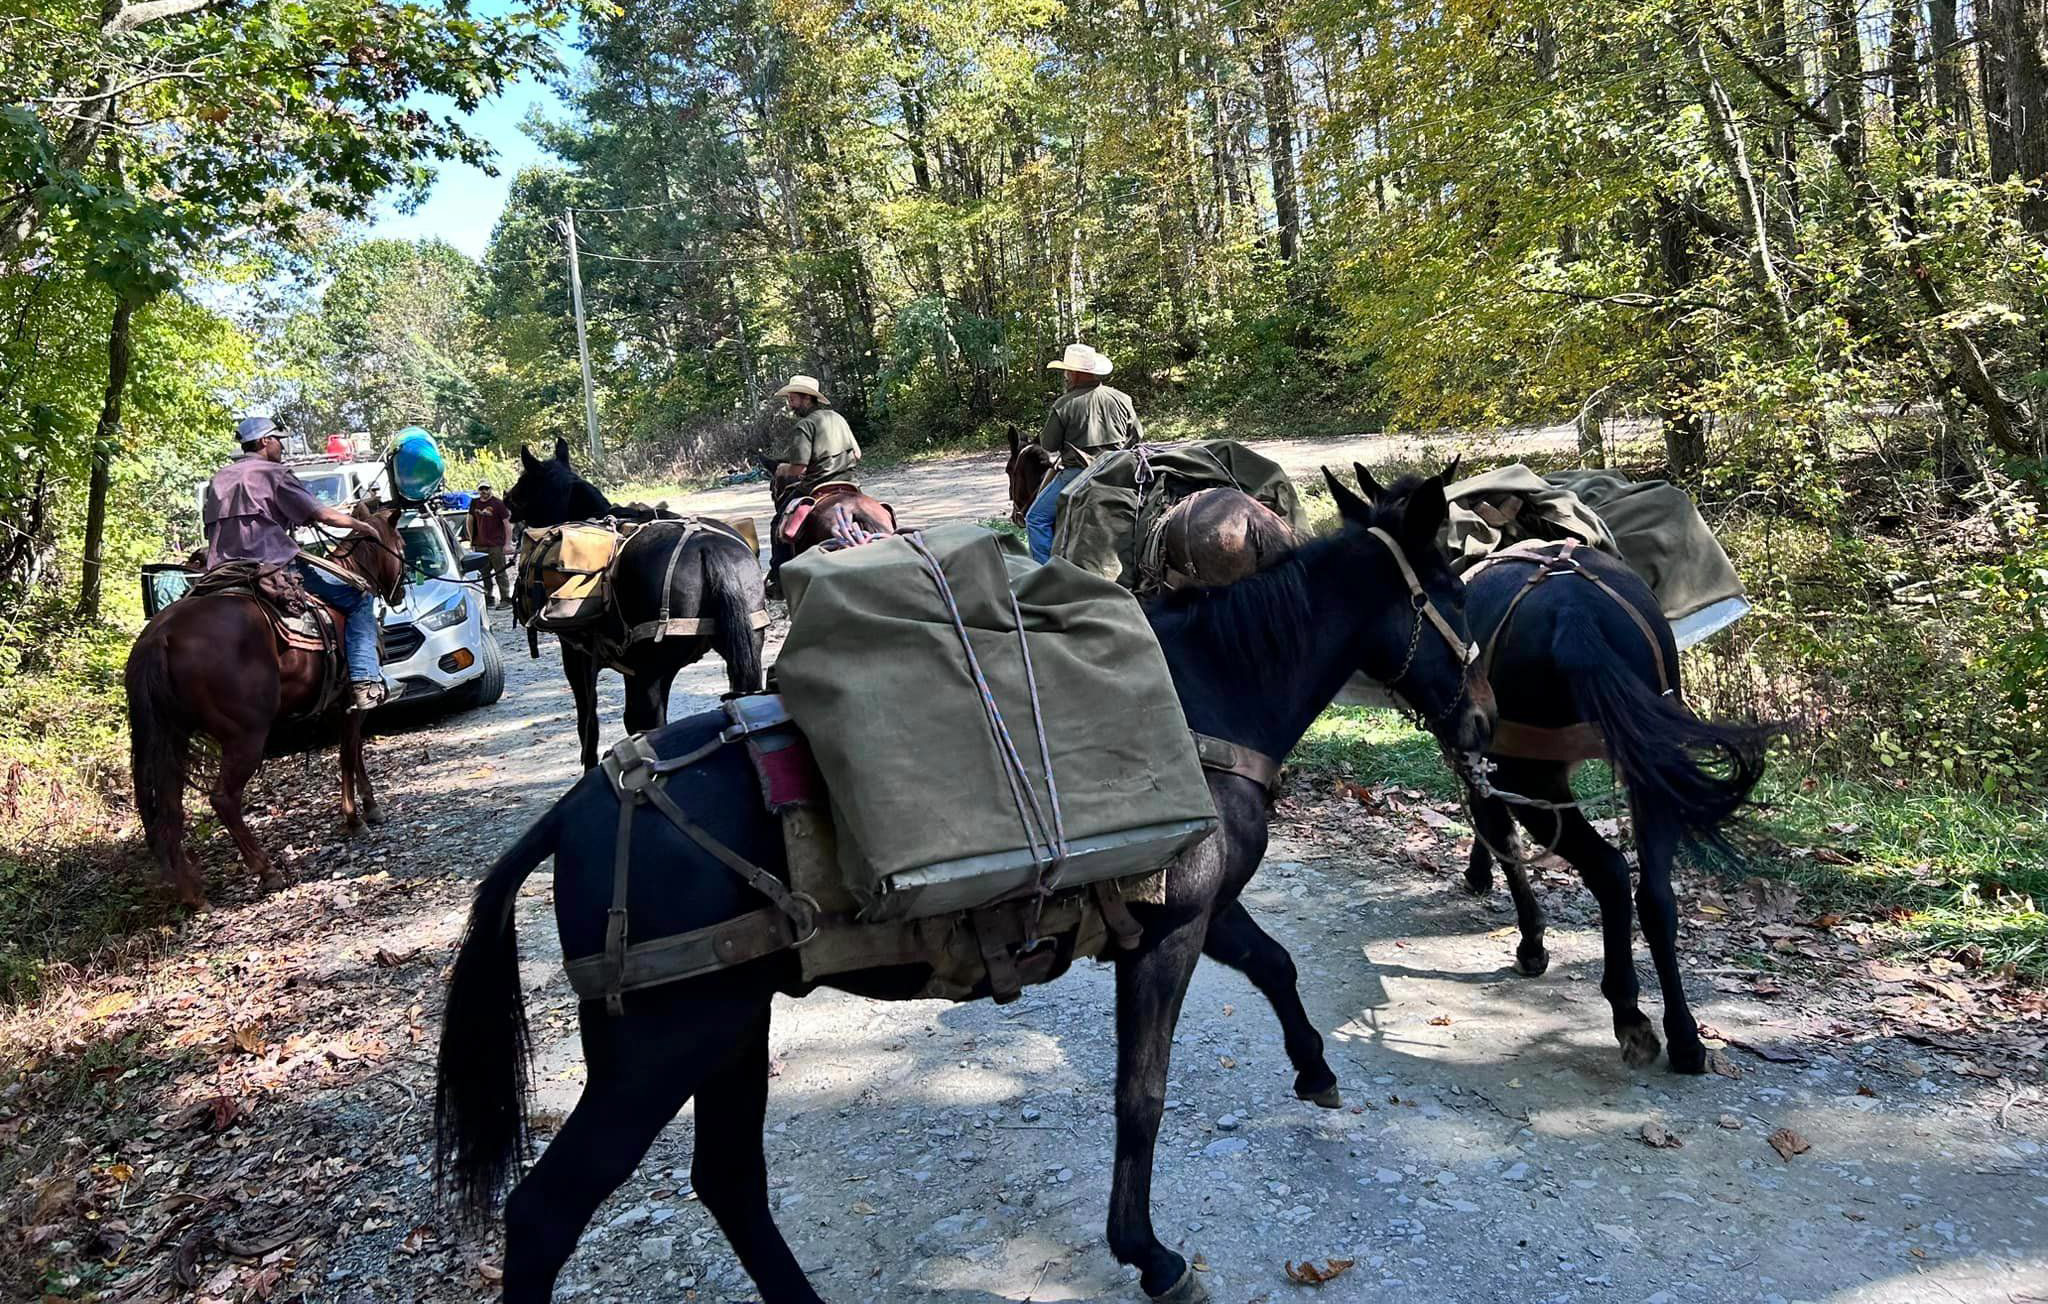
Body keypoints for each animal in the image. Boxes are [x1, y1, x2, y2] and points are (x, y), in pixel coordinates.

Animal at [124, 503, 407, 908]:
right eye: (400, 543)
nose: (401, 591)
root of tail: (159, 637)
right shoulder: (350, 705)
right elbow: (349, 755)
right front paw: (357, 817)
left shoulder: (338, 707)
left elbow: (354, 755)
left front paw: (367, 809)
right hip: (246, 736)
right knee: (223, 798)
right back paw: (266, 870)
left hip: (172, 737)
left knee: (169, 807)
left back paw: (193, 893)